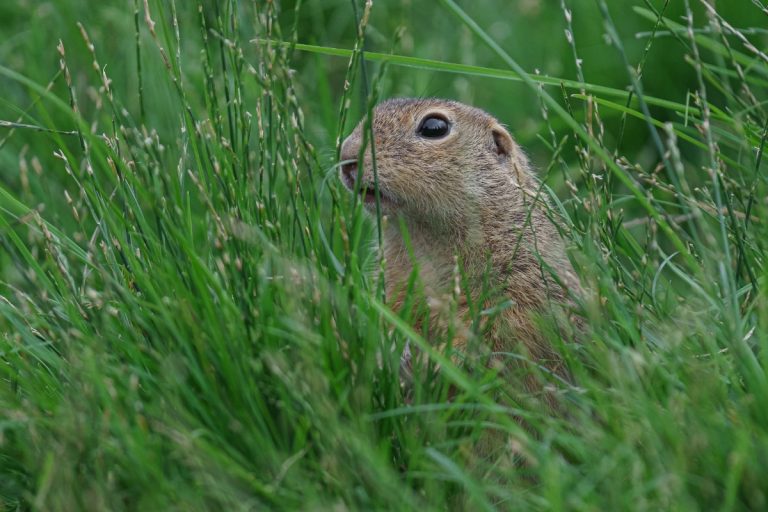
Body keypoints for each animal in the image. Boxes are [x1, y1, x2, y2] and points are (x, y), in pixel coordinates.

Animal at [339, 98, 582, 395]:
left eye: (434, 127)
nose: (346, 154)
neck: (428, 240)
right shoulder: (395, 284)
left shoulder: (524, 282)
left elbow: (503, 334)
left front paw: (437, 361)